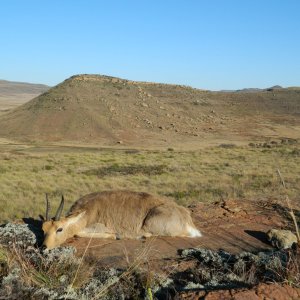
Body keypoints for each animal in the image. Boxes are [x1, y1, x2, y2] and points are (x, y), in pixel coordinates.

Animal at [41, 191, 202, 250]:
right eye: (43, 229)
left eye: (59, 229)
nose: (43, 247)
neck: (86, 212)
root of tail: (186, 216)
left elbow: (79, 233)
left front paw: (115, 235)